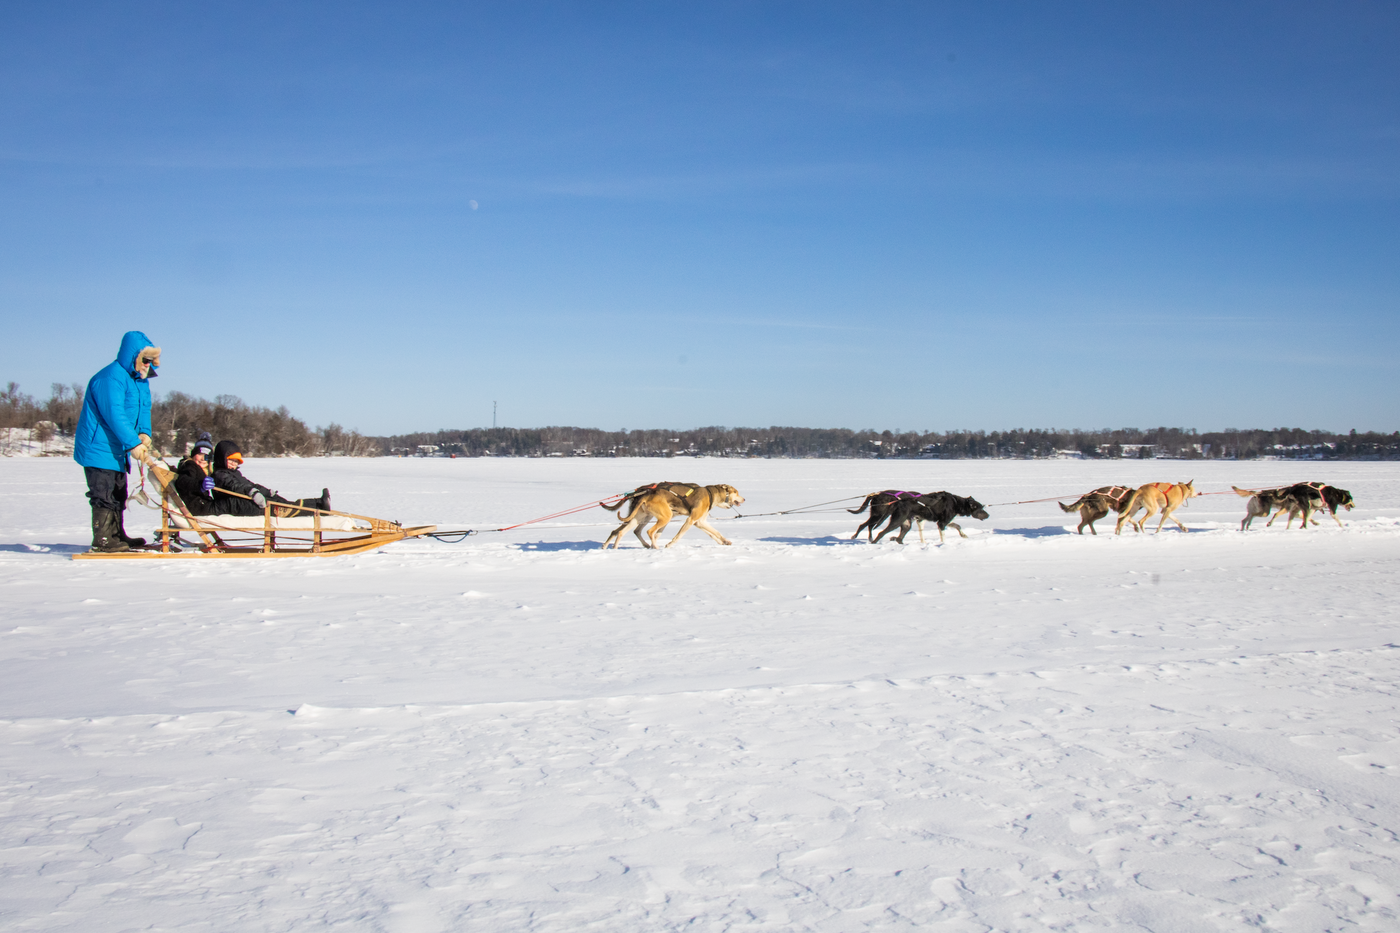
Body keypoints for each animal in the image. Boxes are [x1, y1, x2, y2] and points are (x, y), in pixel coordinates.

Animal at [607, 481, 750, 549]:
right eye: (737, 492)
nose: (744, 499)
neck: (711, 494)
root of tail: (646, 494)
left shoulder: (700, 521)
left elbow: (714, 532)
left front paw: (725, 541)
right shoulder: (691, 520)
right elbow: (678, 536)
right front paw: (669, 545)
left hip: (639, 518)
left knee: (622, 531)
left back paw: (615, 547)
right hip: (665, 517)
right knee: (649, 531)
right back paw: (656, 546)